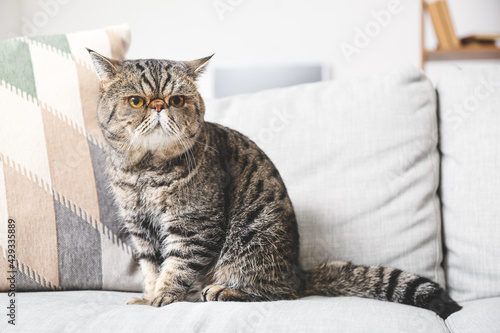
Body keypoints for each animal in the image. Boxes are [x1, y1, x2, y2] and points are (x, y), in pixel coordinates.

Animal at [87, 48, 460, 316]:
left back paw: (222, 290)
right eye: (137, 101)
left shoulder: (194, 226)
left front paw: (163, 296)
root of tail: (299, 271)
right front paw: (148, 295)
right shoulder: (140, 228)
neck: (145, 172)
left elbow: (176, 267)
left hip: (250, 244)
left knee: (277, 292)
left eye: (177, 100)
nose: (159, 106)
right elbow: (152, 267)